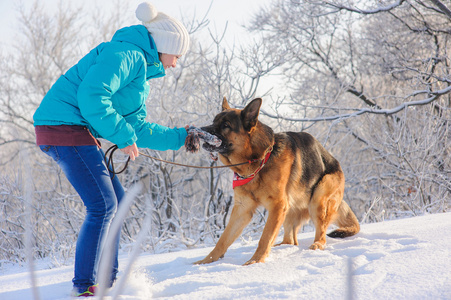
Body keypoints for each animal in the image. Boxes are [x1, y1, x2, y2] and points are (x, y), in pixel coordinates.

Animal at [196, 96, 362, 264]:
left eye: (226, 125)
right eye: (214, 121)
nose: (199, 131)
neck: (258, 161)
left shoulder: (277, 206)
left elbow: (265, 238)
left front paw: (255, 261)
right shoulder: (243, 209)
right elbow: (223, 239)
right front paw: (205, 262)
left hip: (318, 198)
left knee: (321, 235)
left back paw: (316, 245)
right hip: (289, 209)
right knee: (290, 241)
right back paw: (280, 247)